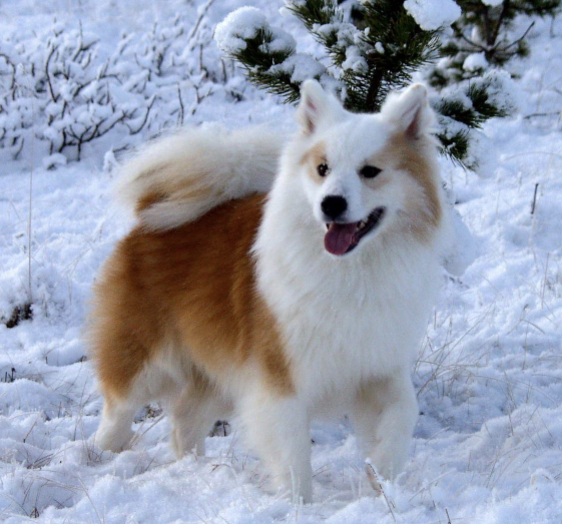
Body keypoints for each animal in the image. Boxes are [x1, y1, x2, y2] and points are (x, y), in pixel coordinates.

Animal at [89, 82, 452, 504]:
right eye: (322, 169)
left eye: (370, 171)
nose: (331, 203)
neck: (350, 271)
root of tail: (149, 215)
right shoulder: (279, 377)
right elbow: (293, 455)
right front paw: (300, 505)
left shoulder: (375, 365)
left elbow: (401, 416)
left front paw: (382, 481)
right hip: (146, 359)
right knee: (118, 407)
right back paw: (100, 456)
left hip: (219, 370)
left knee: (184, 418)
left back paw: (196, 470)